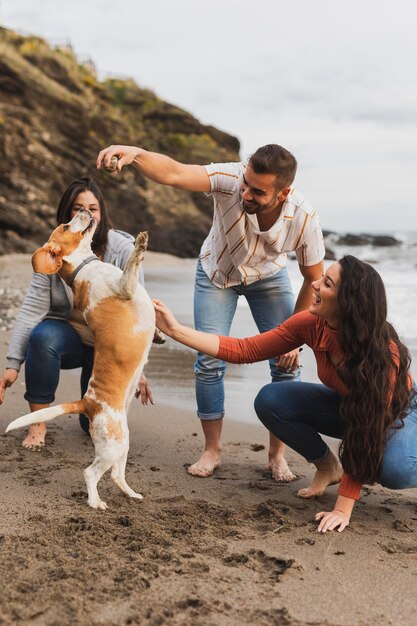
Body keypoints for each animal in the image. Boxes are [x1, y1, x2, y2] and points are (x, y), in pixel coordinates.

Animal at [5, 210, 155, 508]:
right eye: (66, 225)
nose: (83, 212)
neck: (84, 267)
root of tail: (88, 402)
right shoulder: (125, 286)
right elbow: (132, 263)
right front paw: (140, 244)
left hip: (122, 443)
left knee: (116, 475)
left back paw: (131, 494)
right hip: (113, 446)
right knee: (90, 472)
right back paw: (95, 502)